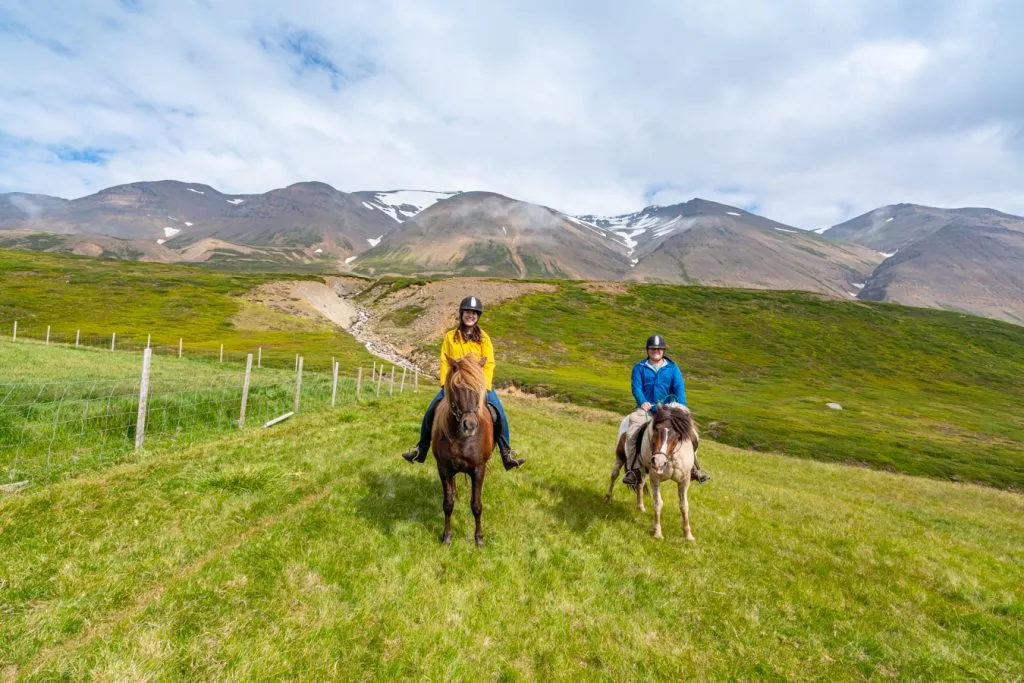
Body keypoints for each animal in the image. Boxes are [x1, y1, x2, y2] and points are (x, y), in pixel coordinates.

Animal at [432, 356, 495, 548]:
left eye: (479, 387)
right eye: (456, 387)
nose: (470, 425)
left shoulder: (479, 469)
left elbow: (476, 505)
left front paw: (479, 538)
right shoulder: (444, 468)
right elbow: (448, 504)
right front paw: (446, 536)